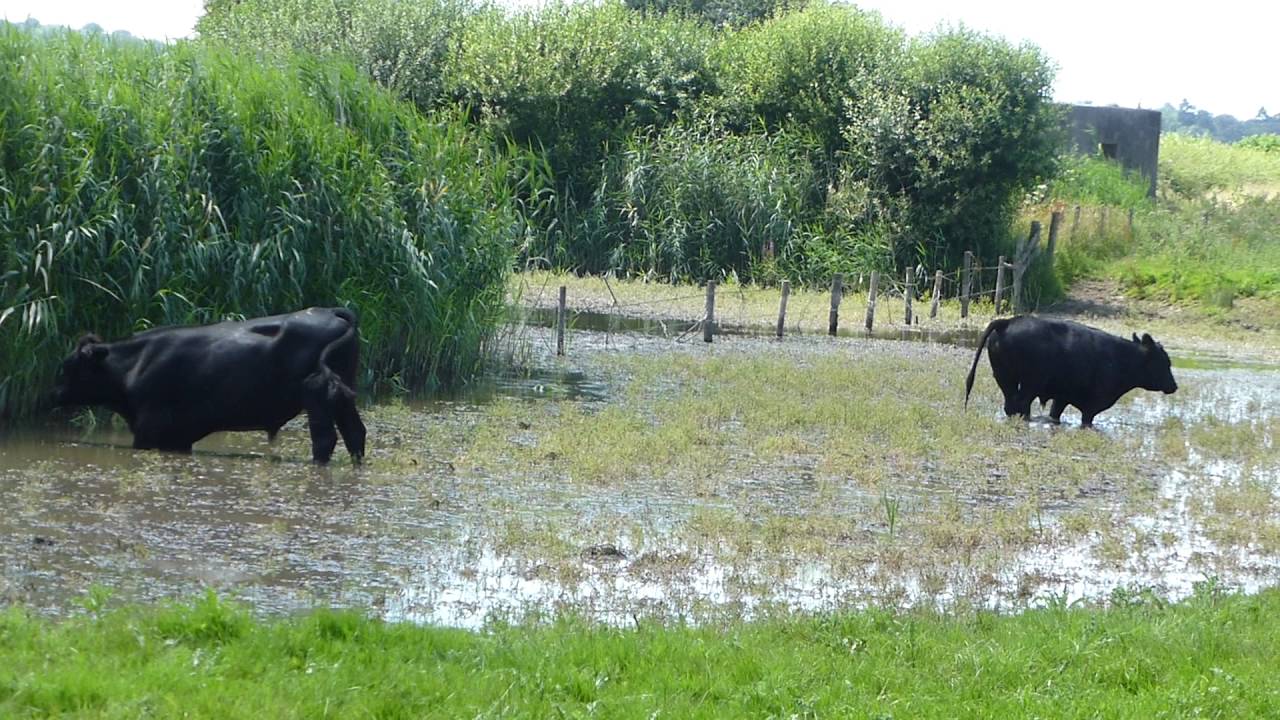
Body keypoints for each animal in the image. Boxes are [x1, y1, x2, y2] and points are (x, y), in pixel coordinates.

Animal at [52, 307, 366, 463]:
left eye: (68, 366)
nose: (52, 394)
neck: (136, 363)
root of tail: (331, 311)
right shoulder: (178, 437)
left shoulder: (149, 429)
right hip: (343, 394)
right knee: (355, 433)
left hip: (317, 396)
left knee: (325, 438)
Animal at [964, 315, 1177, 428]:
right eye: (1164, 362)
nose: (1174, 386)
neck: (1122, 358)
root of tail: (1008, 321)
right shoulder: (1092, 404)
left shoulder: (1062, 397)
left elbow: (1054, 414)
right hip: (1030, 383)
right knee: (1021, 404)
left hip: (1005, 377)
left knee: (1010, 405)